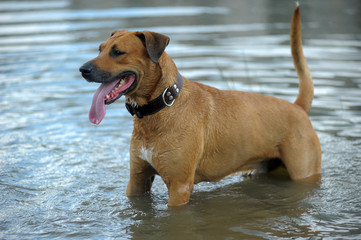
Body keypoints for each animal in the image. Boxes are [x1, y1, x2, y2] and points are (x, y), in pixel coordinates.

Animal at [79, 6, 320, 207]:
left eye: (118, 52)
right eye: (100, 49)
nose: (83, 69)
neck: (163, 105)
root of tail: (298, 107)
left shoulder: (179, 186)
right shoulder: (137, 179)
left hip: (304, 173)